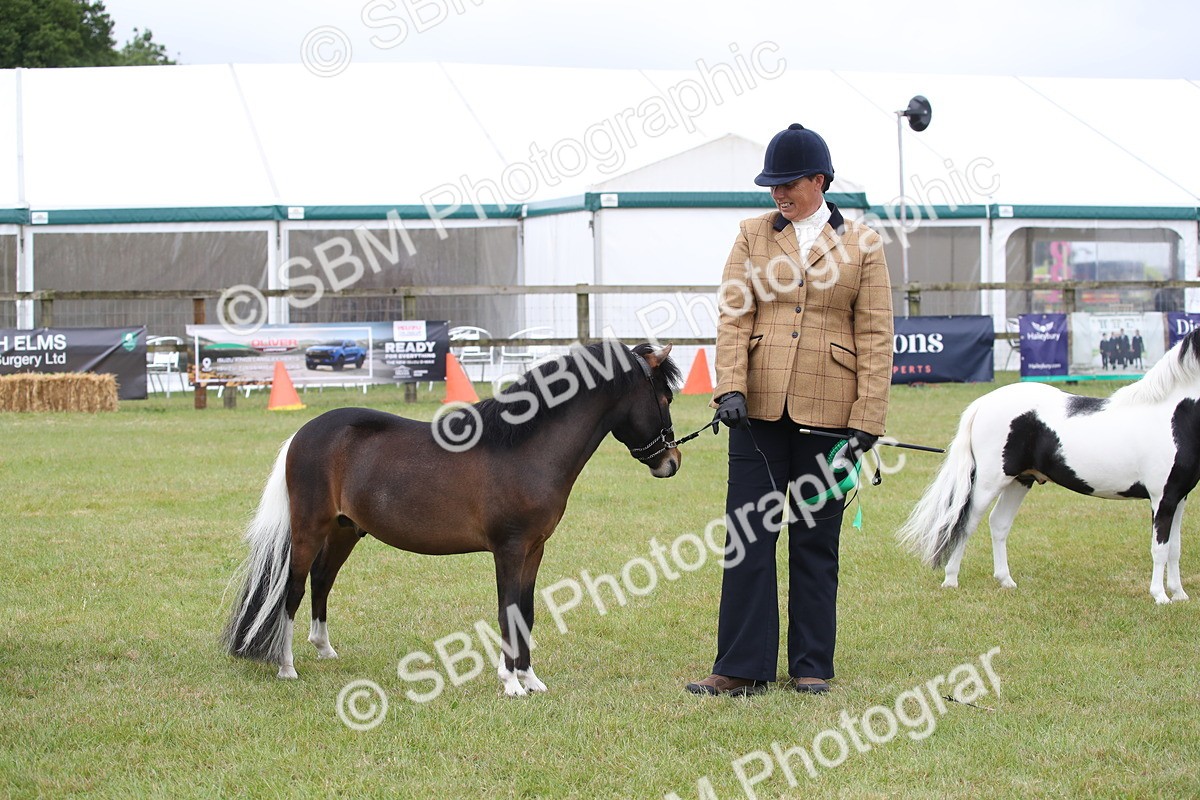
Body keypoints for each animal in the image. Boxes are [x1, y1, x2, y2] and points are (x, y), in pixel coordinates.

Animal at [222, 340, 683, 693]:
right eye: (664, 398)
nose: (671, 462)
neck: (524, 447)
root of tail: (303, 434)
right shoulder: (509, 549)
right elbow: (507, 612)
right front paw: (511, 685)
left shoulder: (534, 550)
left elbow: (527, 611)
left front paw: (530, 680)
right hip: (308, 530)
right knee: (293, 589)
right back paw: (287, 667)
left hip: (344, 532)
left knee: (322, 581)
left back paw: (324, 649)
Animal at [897, 327, 1200, 604]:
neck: (1171, 417)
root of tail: (983, 403)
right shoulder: (1161, 499)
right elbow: (1159, 548)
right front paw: (1160, 596)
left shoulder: (1178, 497)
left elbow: (1175, 548)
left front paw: (1179, 594)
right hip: (989, 482)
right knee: (965, 522)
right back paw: (951, 580)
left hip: (1020, 480)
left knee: (999, 523)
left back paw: (1006, 580)